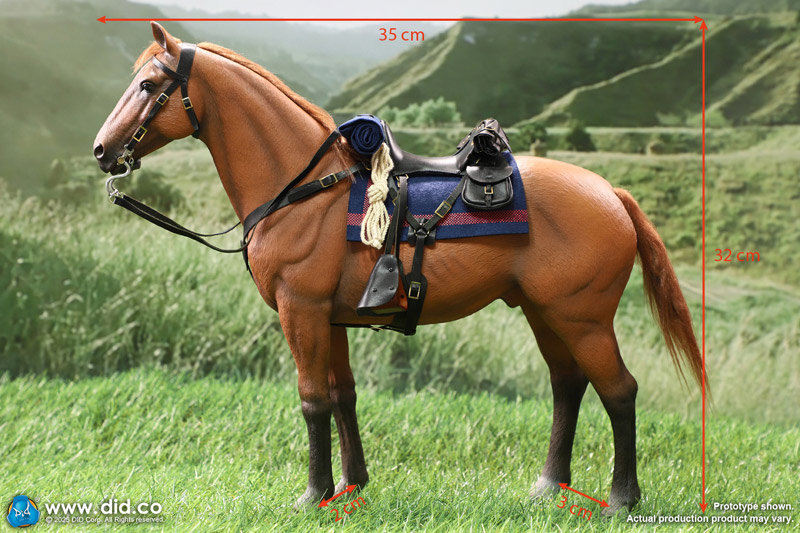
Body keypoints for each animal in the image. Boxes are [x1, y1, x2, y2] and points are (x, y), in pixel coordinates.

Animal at [93, 22, 704, 515]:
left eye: (147, 86)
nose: (102, 150)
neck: (307, 190)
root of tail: (610, 193)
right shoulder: (330, 319)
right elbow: (342, 396)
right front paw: (352, 484)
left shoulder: (301, 311)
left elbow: (312, 400)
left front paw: (313, 495)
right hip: (545, 313)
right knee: (568, 385)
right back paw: (549, 485)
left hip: (584, 319)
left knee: (618, 391)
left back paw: (622, 498)